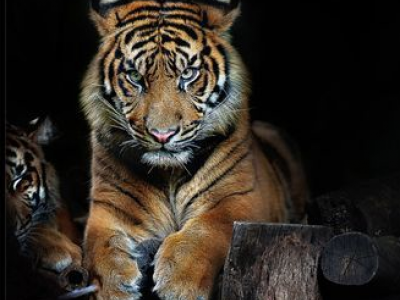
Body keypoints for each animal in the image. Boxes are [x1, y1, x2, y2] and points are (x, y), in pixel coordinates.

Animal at [79, 0, 308, 300]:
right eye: (135, 77)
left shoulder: (242, 198)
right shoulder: (108, 208)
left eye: (187, 74)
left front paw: (179, 280)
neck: (168, 173)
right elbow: (98, 246)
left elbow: (209, 227)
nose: (162, 134)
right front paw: (113, 286)